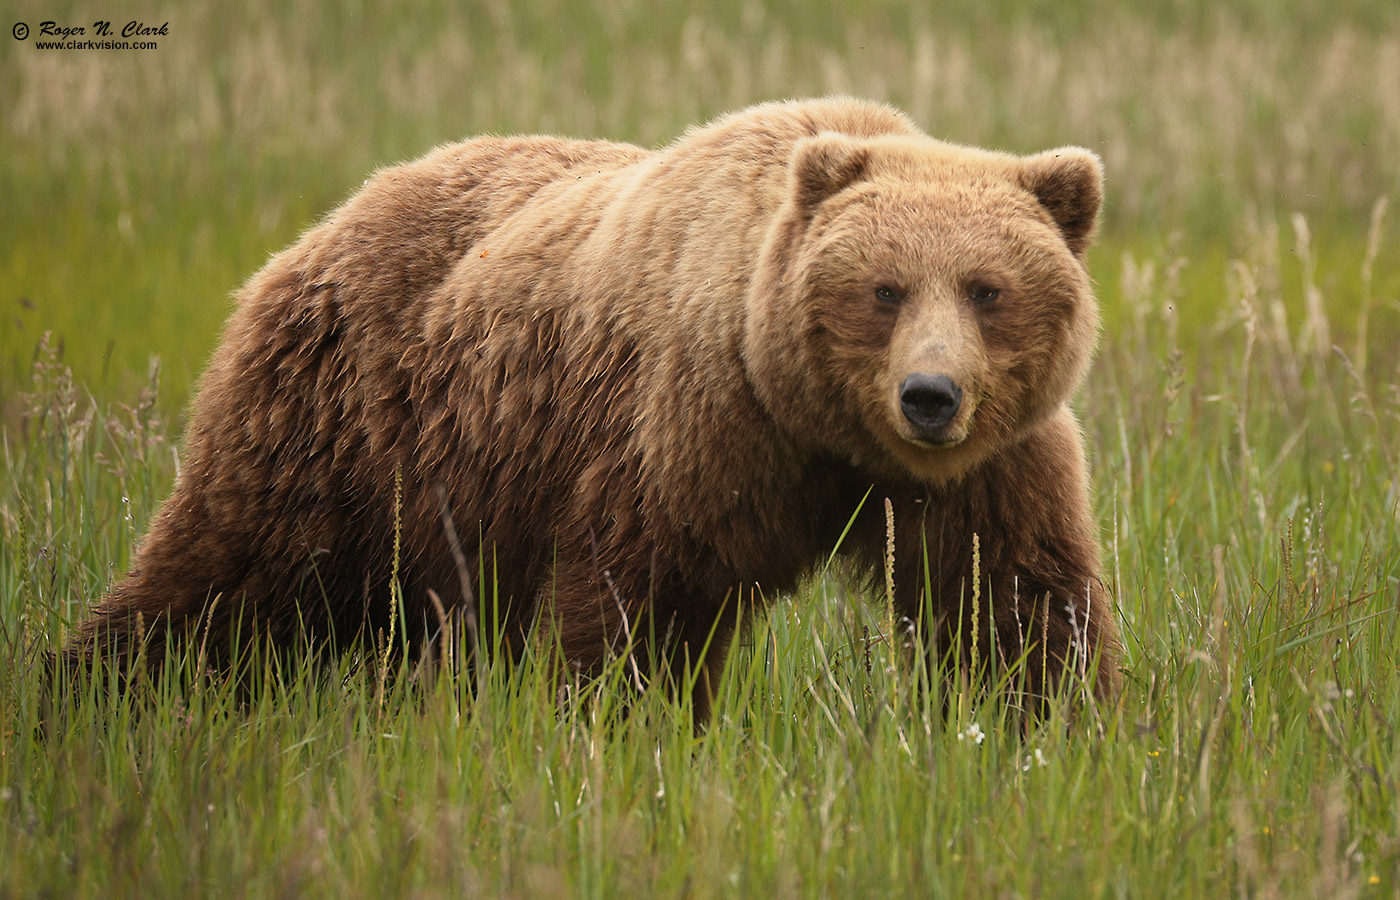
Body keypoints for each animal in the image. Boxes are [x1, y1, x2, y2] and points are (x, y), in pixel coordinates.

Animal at [65, 98, 1120, 713]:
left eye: (986, 288)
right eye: (885, 289)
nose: (929, 396)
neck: (825, 433)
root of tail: (320, 227)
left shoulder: (992, 467)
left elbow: (1014, 605)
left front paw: (1053, 728)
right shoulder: (696, 425)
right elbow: (646, 596)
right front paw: (628, 725)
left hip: (454, 496)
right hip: (341, 423)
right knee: (224, 576)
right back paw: (91, 691)